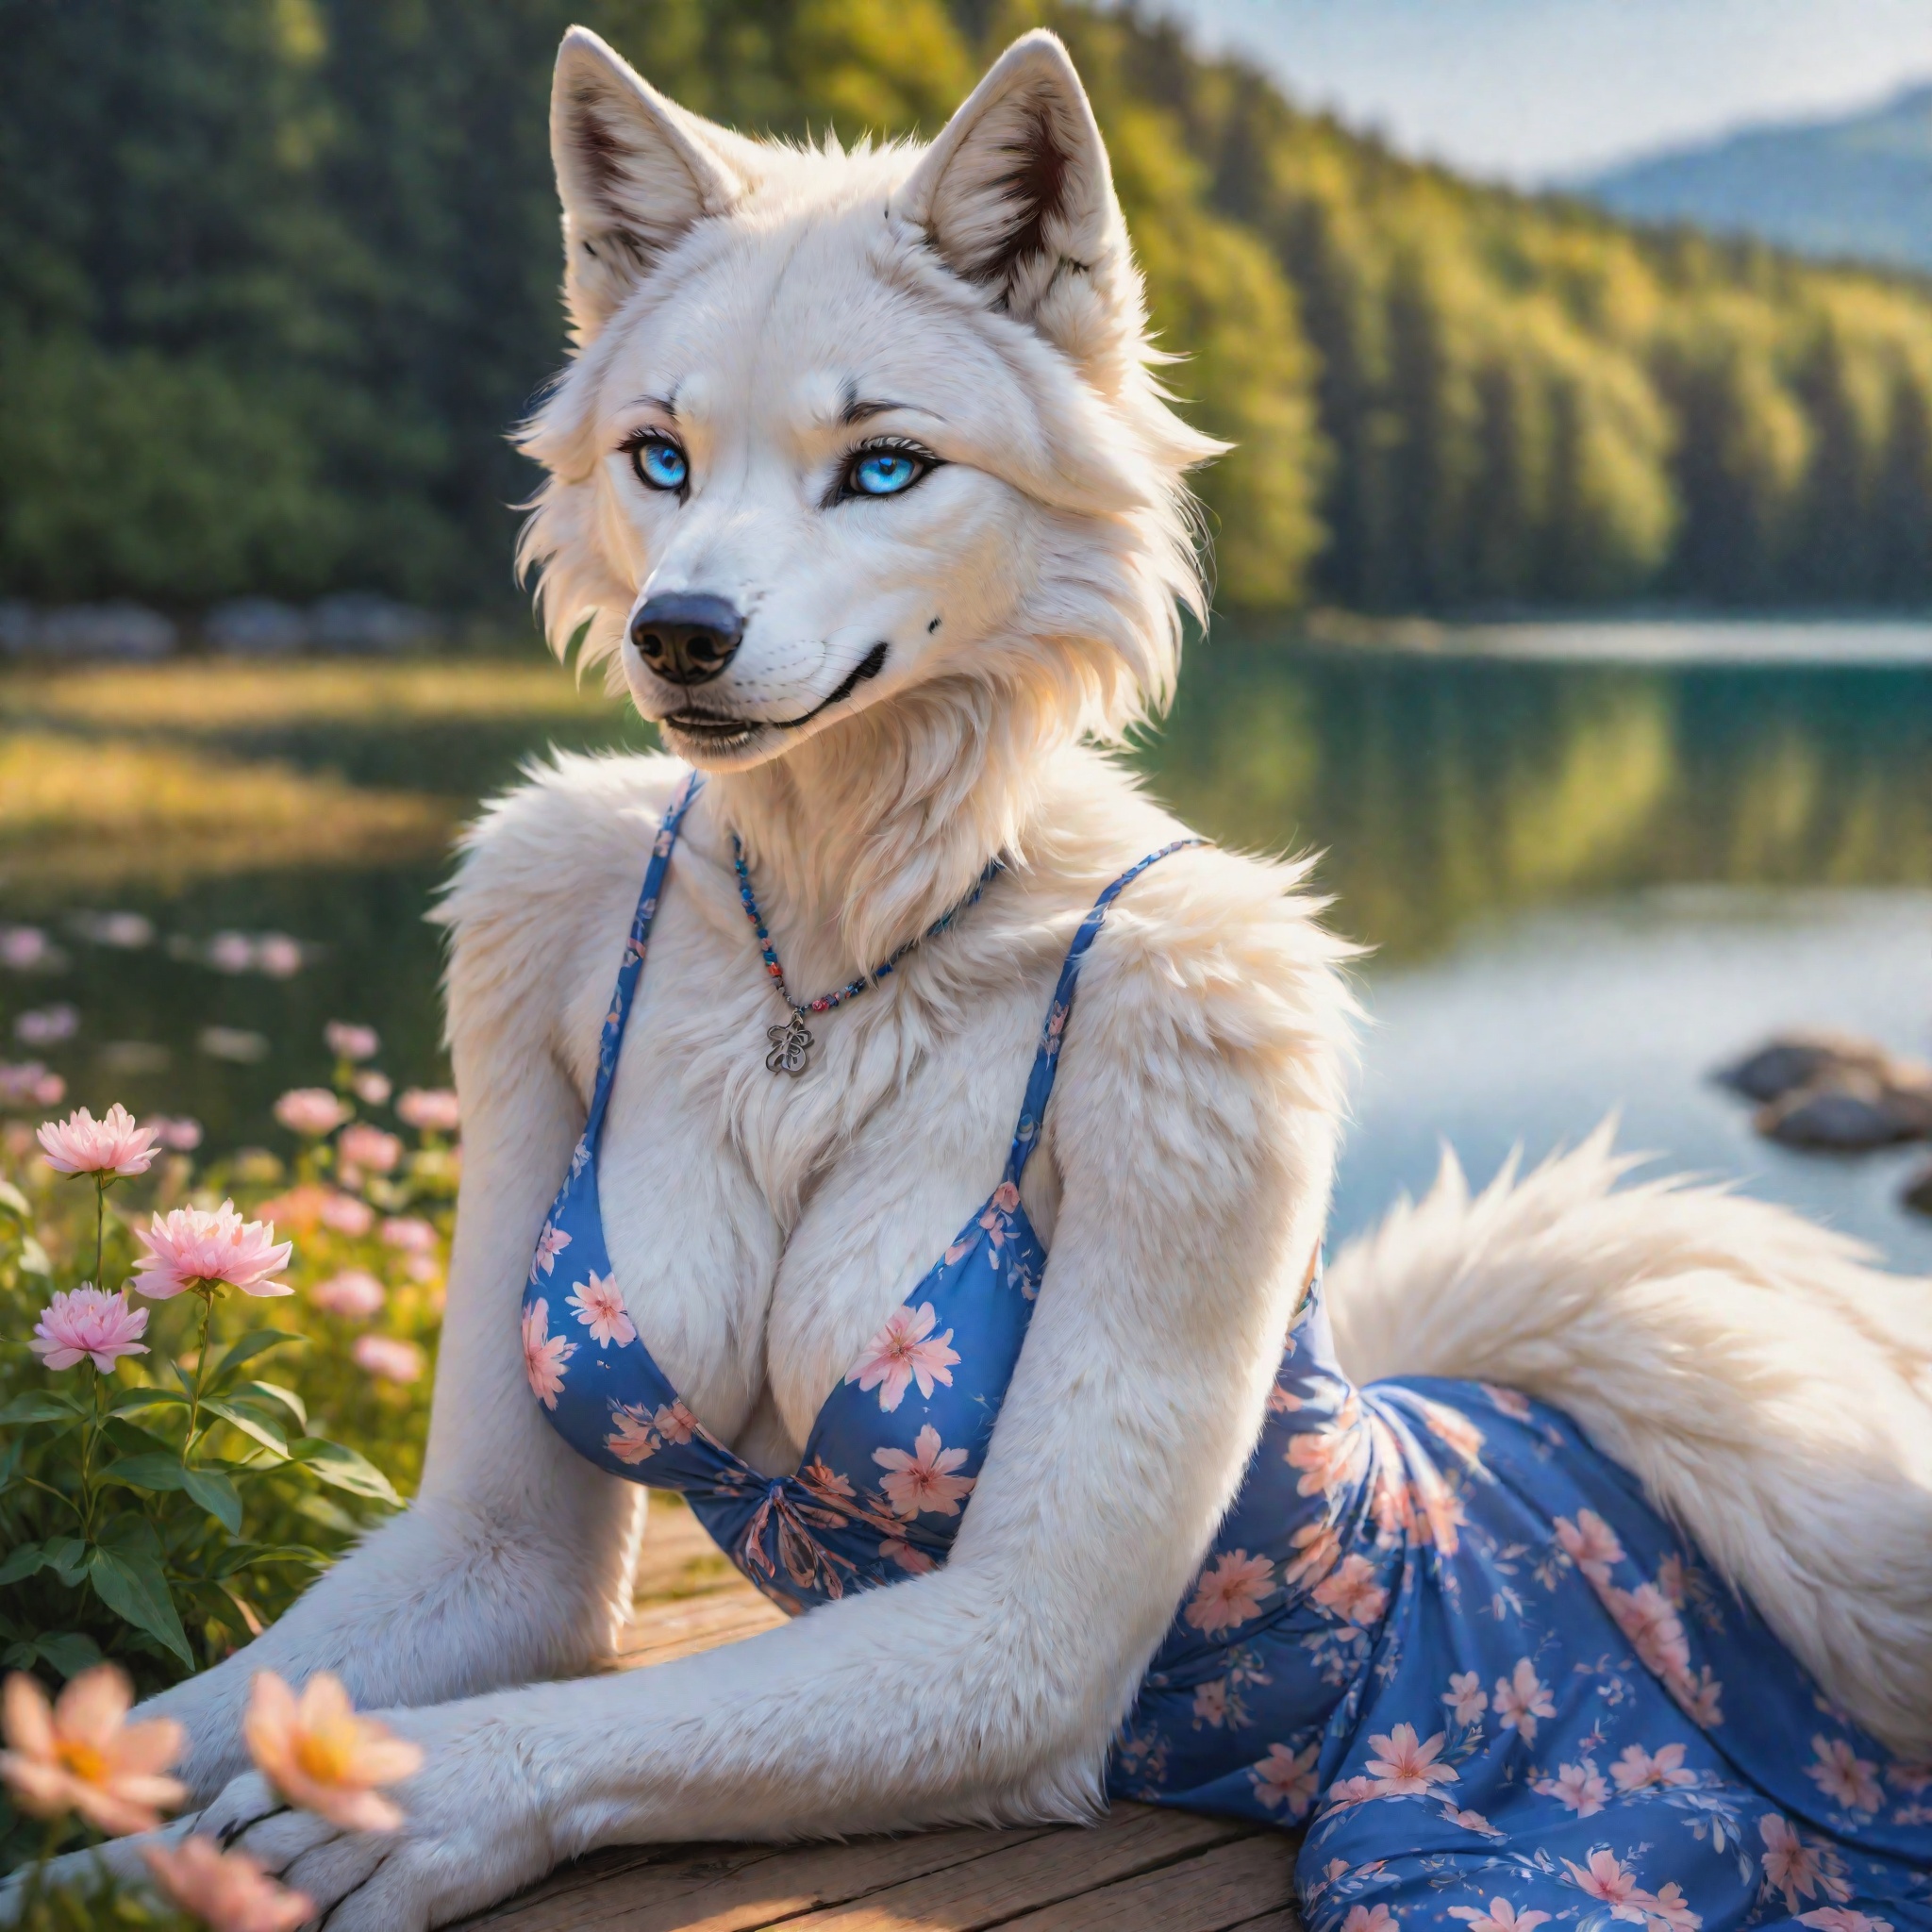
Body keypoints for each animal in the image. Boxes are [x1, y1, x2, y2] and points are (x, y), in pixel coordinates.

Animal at [15, 26, 1931, 1931]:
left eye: (883, 466)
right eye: (657, 456)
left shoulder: (1212, 1035)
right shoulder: (526, 923)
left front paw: (379, 1810)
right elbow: (398, 1612)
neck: (854, 917)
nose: (678, 635)